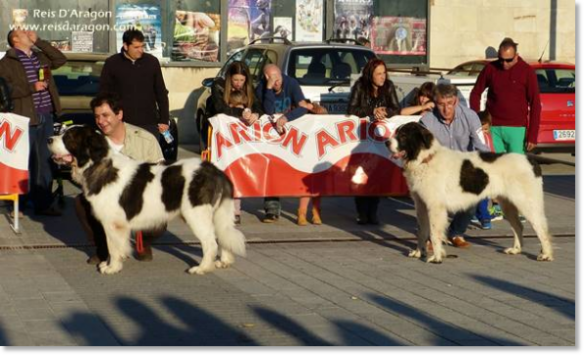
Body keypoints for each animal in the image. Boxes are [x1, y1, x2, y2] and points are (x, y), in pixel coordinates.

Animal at [47, 126, 244, 274]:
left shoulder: (112, 223)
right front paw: (111, 263)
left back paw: (202, 268)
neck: (98, 164)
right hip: (218, 213)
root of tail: (215, 170)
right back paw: (224, 261)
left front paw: (112, 267)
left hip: (197, 215)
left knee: (210, 242)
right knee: (223, 234)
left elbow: (113, 245)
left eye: (69, 137)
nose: (49, 139)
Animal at [388, 121, 552, 262]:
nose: (386, 142)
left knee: (541, 227)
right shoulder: (421, 205)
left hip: (527, 204)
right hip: (508, 205)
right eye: (396, 133)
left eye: (403, 135)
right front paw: (419, 252)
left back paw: (546, 254)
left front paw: (437, 257)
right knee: (518, 226)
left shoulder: (435, 207)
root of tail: (531, 161)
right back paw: (516, 249)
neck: (425, 159)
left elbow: (434, 234)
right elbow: (421, 231)